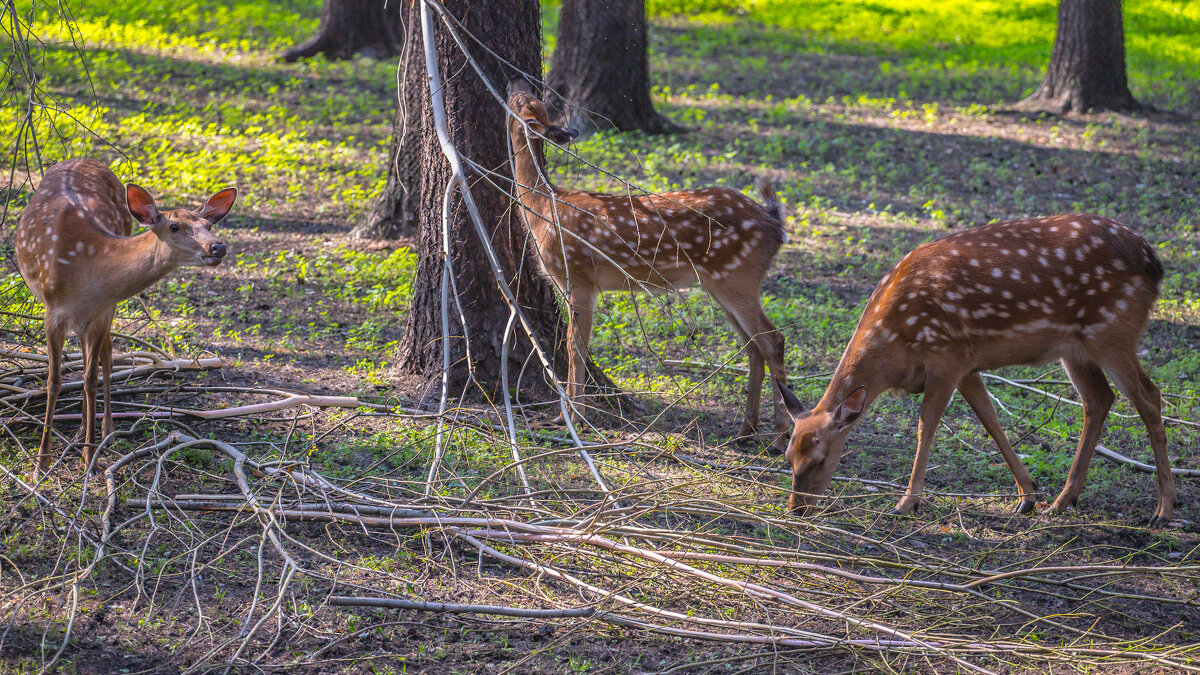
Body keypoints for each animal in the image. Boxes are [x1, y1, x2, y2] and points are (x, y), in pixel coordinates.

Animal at [14, 157, 236, 473]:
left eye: (207, 224)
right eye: (175, 226)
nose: (217, 246)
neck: (85, 270)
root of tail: (85, 159)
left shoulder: (102, 312)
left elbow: (91, 378)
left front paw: (89, 459)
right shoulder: (53, 313)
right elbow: (54, 382)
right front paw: (42, 462)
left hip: (104, 314)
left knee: (105, 356)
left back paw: (102, 431)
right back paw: (82, 433)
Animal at [504, 79, 792, 451]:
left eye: (523, 101)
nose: (515, 82)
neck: (542, 209)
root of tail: (775, 221)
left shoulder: (577, 276)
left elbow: (574, 345)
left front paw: (572, 418)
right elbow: (576, 344)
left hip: (738, 279)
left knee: (773, 340)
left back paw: (779, 437)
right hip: (723, 283)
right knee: (754, 346)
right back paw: (746, 430)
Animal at [772, 212, 1176, 523]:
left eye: (821, 461)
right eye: (788, 456)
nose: (796, 509)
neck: (896, 345)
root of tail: (1153, 262)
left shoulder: (947, 357)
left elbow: (926, 426)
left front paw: (906, 503)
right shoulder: (967, 365)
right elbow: (990, 420)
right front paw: (1027, 497)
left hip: (1112, 332)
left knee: (1149, 396)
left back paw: (1163, 509)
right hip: (1076, 349)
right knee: (1099, 400)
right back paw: (1062, 502)